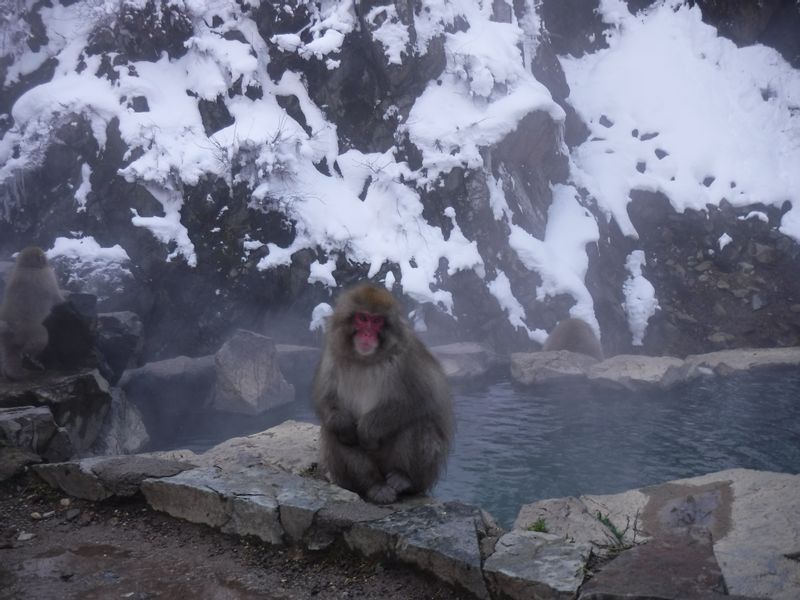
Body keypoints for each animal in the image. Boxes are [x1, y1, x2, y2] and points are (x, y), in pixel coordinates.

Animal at [0, 247, 64, 380]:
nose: (46, 260)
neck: (27, 266)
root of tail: (7, 325)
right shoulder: (48, 276)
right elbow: (58, 299)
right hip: (27, 330)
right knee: (41, 337)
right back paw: (30, 358)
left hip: (6, 339)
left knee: (10, 354)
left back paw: (13, 373)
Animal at [310, 284, 454, 504]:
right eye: (362, 318)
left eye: (377, 321)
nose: (368, 333)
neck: (366, 360)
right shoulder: (332, 355)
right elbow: (327, 401)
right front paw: (346, 427)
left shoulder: (407, 357)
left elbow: (423, 398)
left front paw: (368, 431)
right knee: (335, 433)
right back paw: (374, 486)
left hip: (423, 474)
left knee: (420, 423)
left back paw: (403, 478)